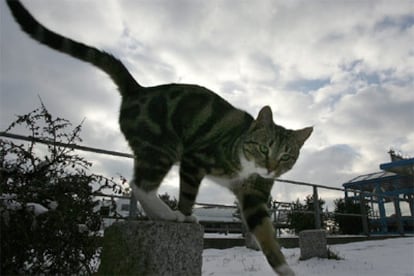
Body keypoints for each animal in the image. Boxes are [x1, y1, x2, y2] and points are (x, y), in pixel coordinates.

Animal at [6, 1, 312, 274]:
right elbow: (187, 195)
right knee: (140, 184)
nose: (270, 168)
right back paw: (168, 215)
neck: (244, 164)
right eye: (263, 148)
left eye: (286, 156)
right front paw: (185, 216)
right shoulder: (195, 158)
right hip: (163, 146)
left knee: (140, 183)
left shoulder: (254, 196)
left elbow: (266, 235)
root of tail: (138, 89)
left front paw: (285, 269)